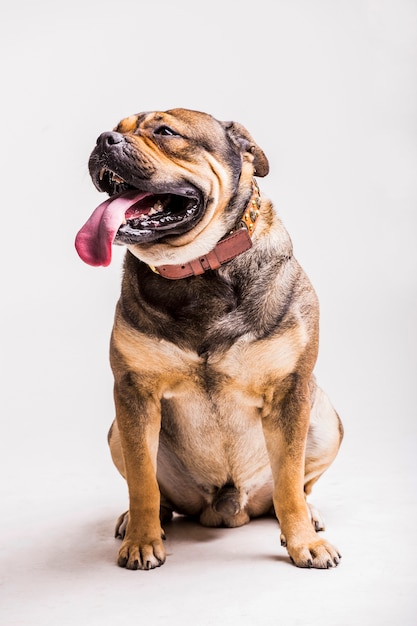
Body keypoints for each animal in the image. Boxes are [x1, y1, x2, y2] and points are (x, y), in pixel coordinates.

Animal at [74, 108, 342, 572]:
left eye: (165, 131)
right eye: (117, 127)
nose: (104, 139)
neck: (198, 270)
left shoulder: (291, 391)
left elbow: (290, 480)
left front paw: (304, 542)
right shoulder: (133, 393)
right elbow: (142, 480)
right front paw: (143, 540)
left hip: (326, 417)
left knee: (296, 486)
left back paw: (310, 514)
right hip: (116, 432)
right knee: (153, 489)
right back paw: (141, 520)